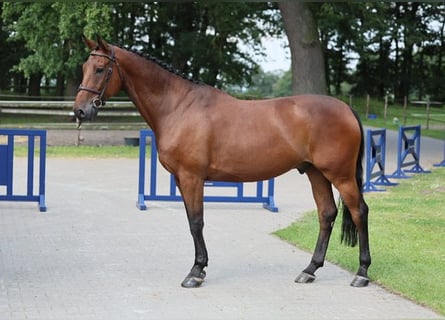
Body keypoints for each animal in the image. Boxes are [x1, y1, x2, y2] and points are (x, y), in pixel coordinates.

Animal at [73, 36, 372, 288]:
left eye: (100, 68)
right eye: (84, 67)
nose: (80, 111)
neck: (178, 106)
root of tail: (345, 108)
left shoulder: (192, 177)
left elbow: (196, 222)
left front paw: (196, 272)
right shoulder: (182, 180)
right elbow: (191, 220)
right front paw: (200, 268)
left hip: (340, 175)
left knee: (359, 212)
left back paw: (361, 273)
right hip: (316, 173)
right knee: (326, 214)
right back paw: (309, 270)